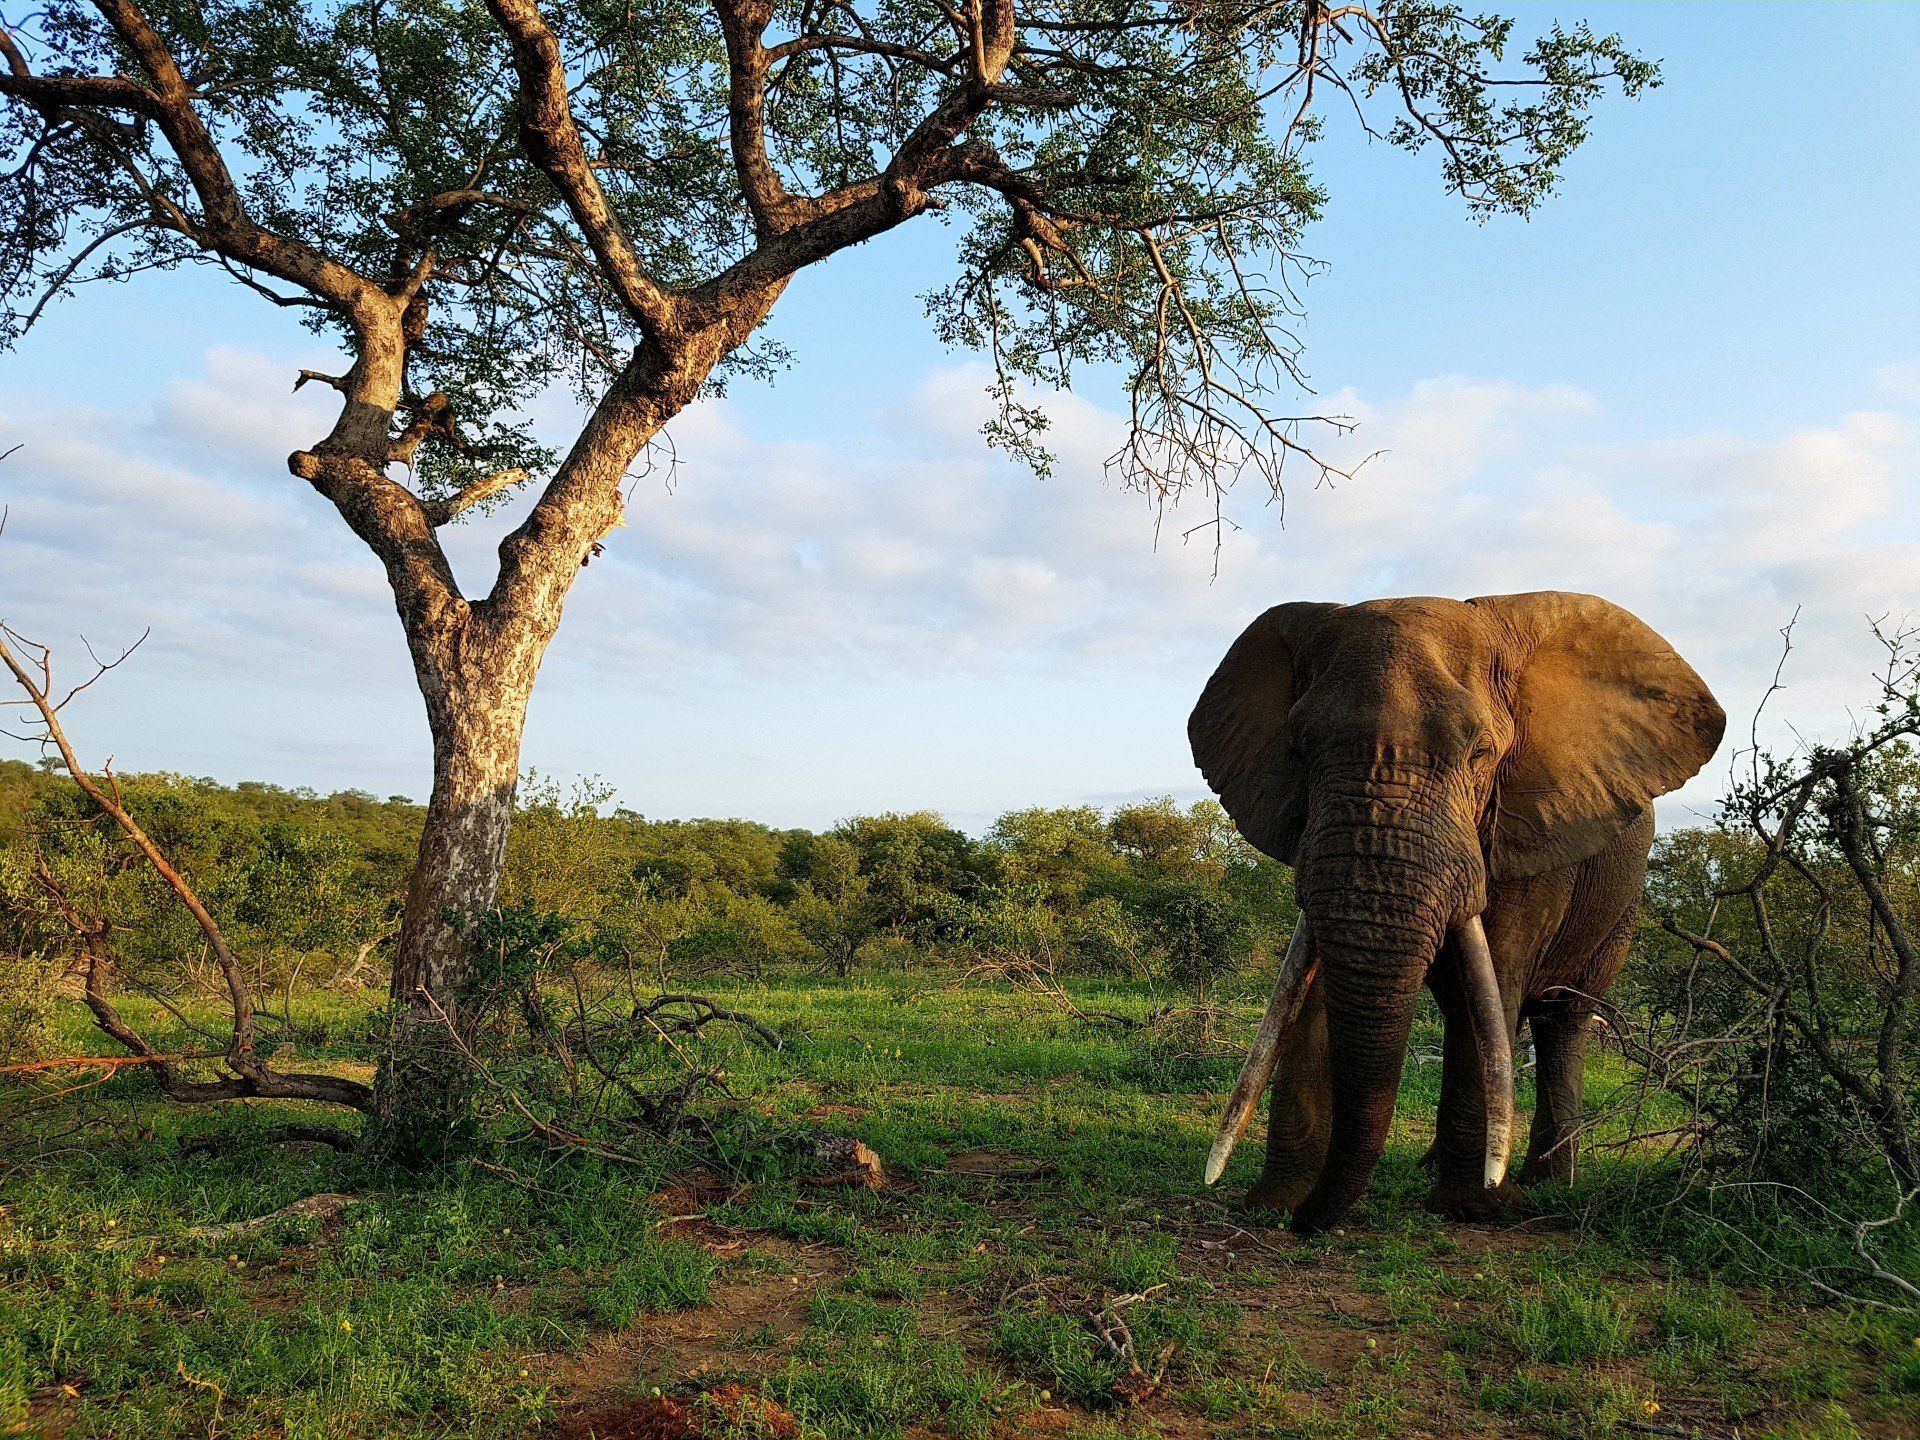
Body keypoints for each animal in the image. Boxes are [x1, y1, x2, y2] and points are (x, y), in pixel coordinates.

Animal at [1188, 592, 1724, 1232]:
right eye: (1300, 751)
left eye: (1481, 754)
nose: (1306, 1225)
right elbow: (1310, 985)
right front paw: (1276, 1202)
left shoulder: (1529, 827)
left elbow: (1497, 976)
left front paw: (1473, 1209)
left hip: (1621, 903)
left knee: (1562, 1019)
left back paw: (1547, 1185)